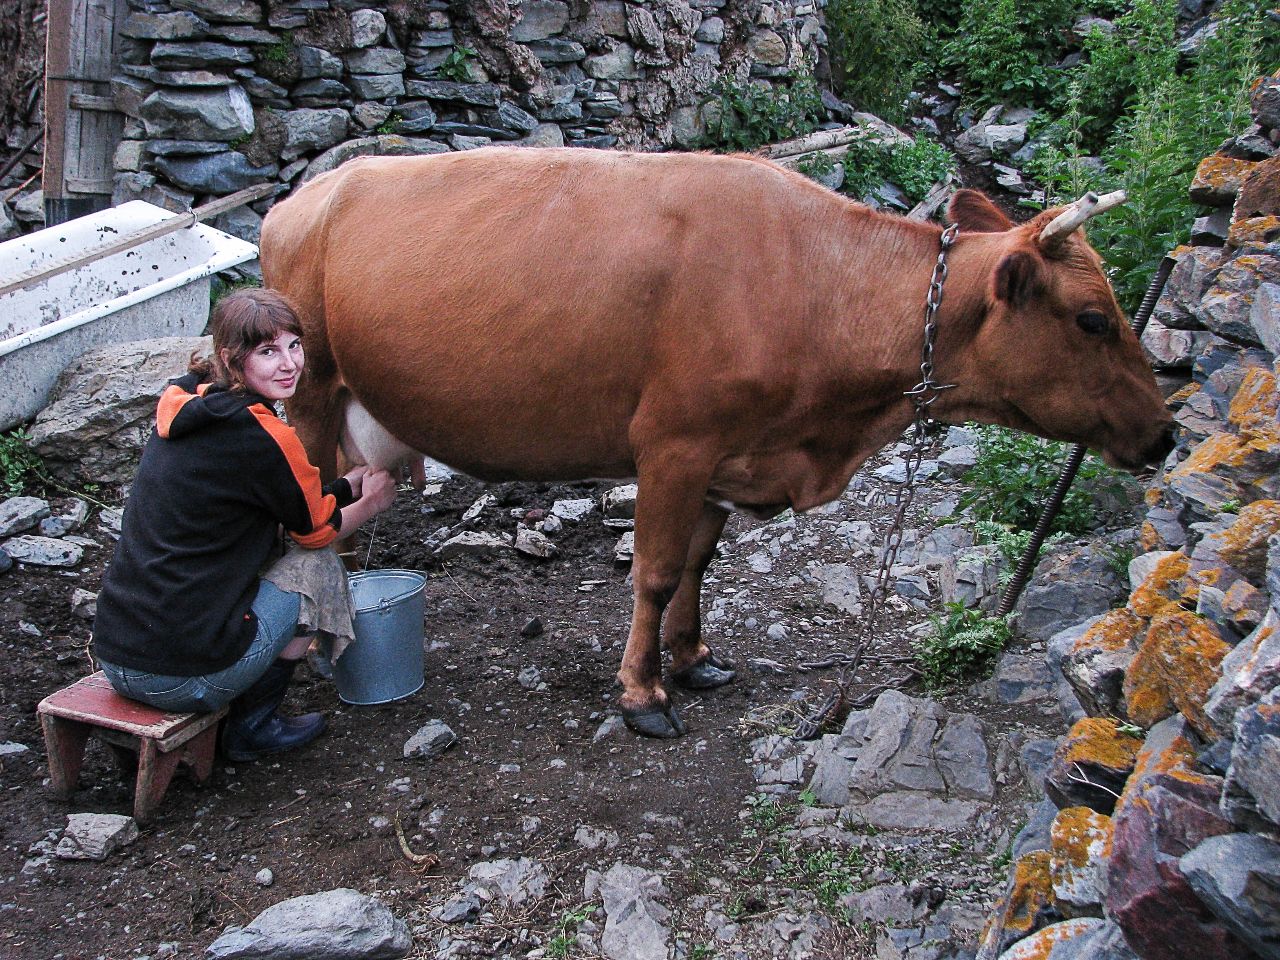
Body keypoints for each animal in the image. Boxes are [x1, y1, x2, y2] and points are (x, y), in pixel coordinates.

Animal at [257, 148, 1172, 737]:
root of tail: (306, 195)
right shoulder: (675, 445)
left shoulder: (730, 457)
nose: (1164, 435)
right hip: (307, 395)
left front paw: (693, 658)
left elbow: (700, 563)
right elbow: (656, 573)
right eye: (1093, 319)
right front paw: (641, 694)